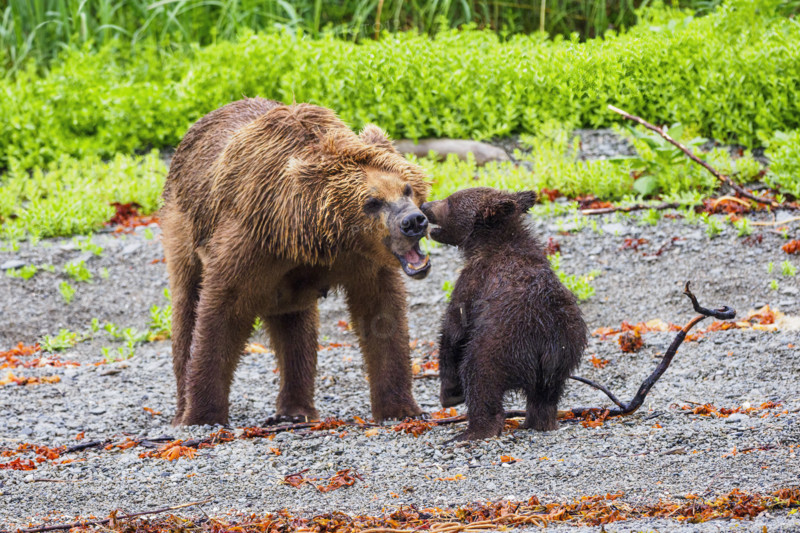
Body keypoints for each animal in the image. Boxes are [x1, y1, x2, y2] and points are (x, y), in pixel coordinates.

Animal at [161, 98, 432, 426]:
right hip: (182, 230)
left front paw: (402, 408)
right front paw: (202, 416)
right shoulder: (249, 242)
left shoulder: (363, 262)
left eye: (407, 188)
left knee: (296, 329)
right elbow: (221, 313)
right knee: (186, 309)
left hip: (287, 291)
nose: (413, 221)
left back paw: (296, 410)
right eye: (372, 202)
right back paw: (181, 409)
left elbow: (381, 316)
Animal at [420, 187, 587, 441]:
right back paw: (539, 422)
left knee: (480, 377)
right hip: (566, 351)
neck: (489, 244)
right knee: (546, 396)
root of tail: (547, 342)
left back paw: (473, 431)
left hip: (500, 345)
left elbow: (453, 328)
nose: (425, 206)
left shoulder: (473, 281)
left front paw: (449, 392)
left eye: (449, 201)